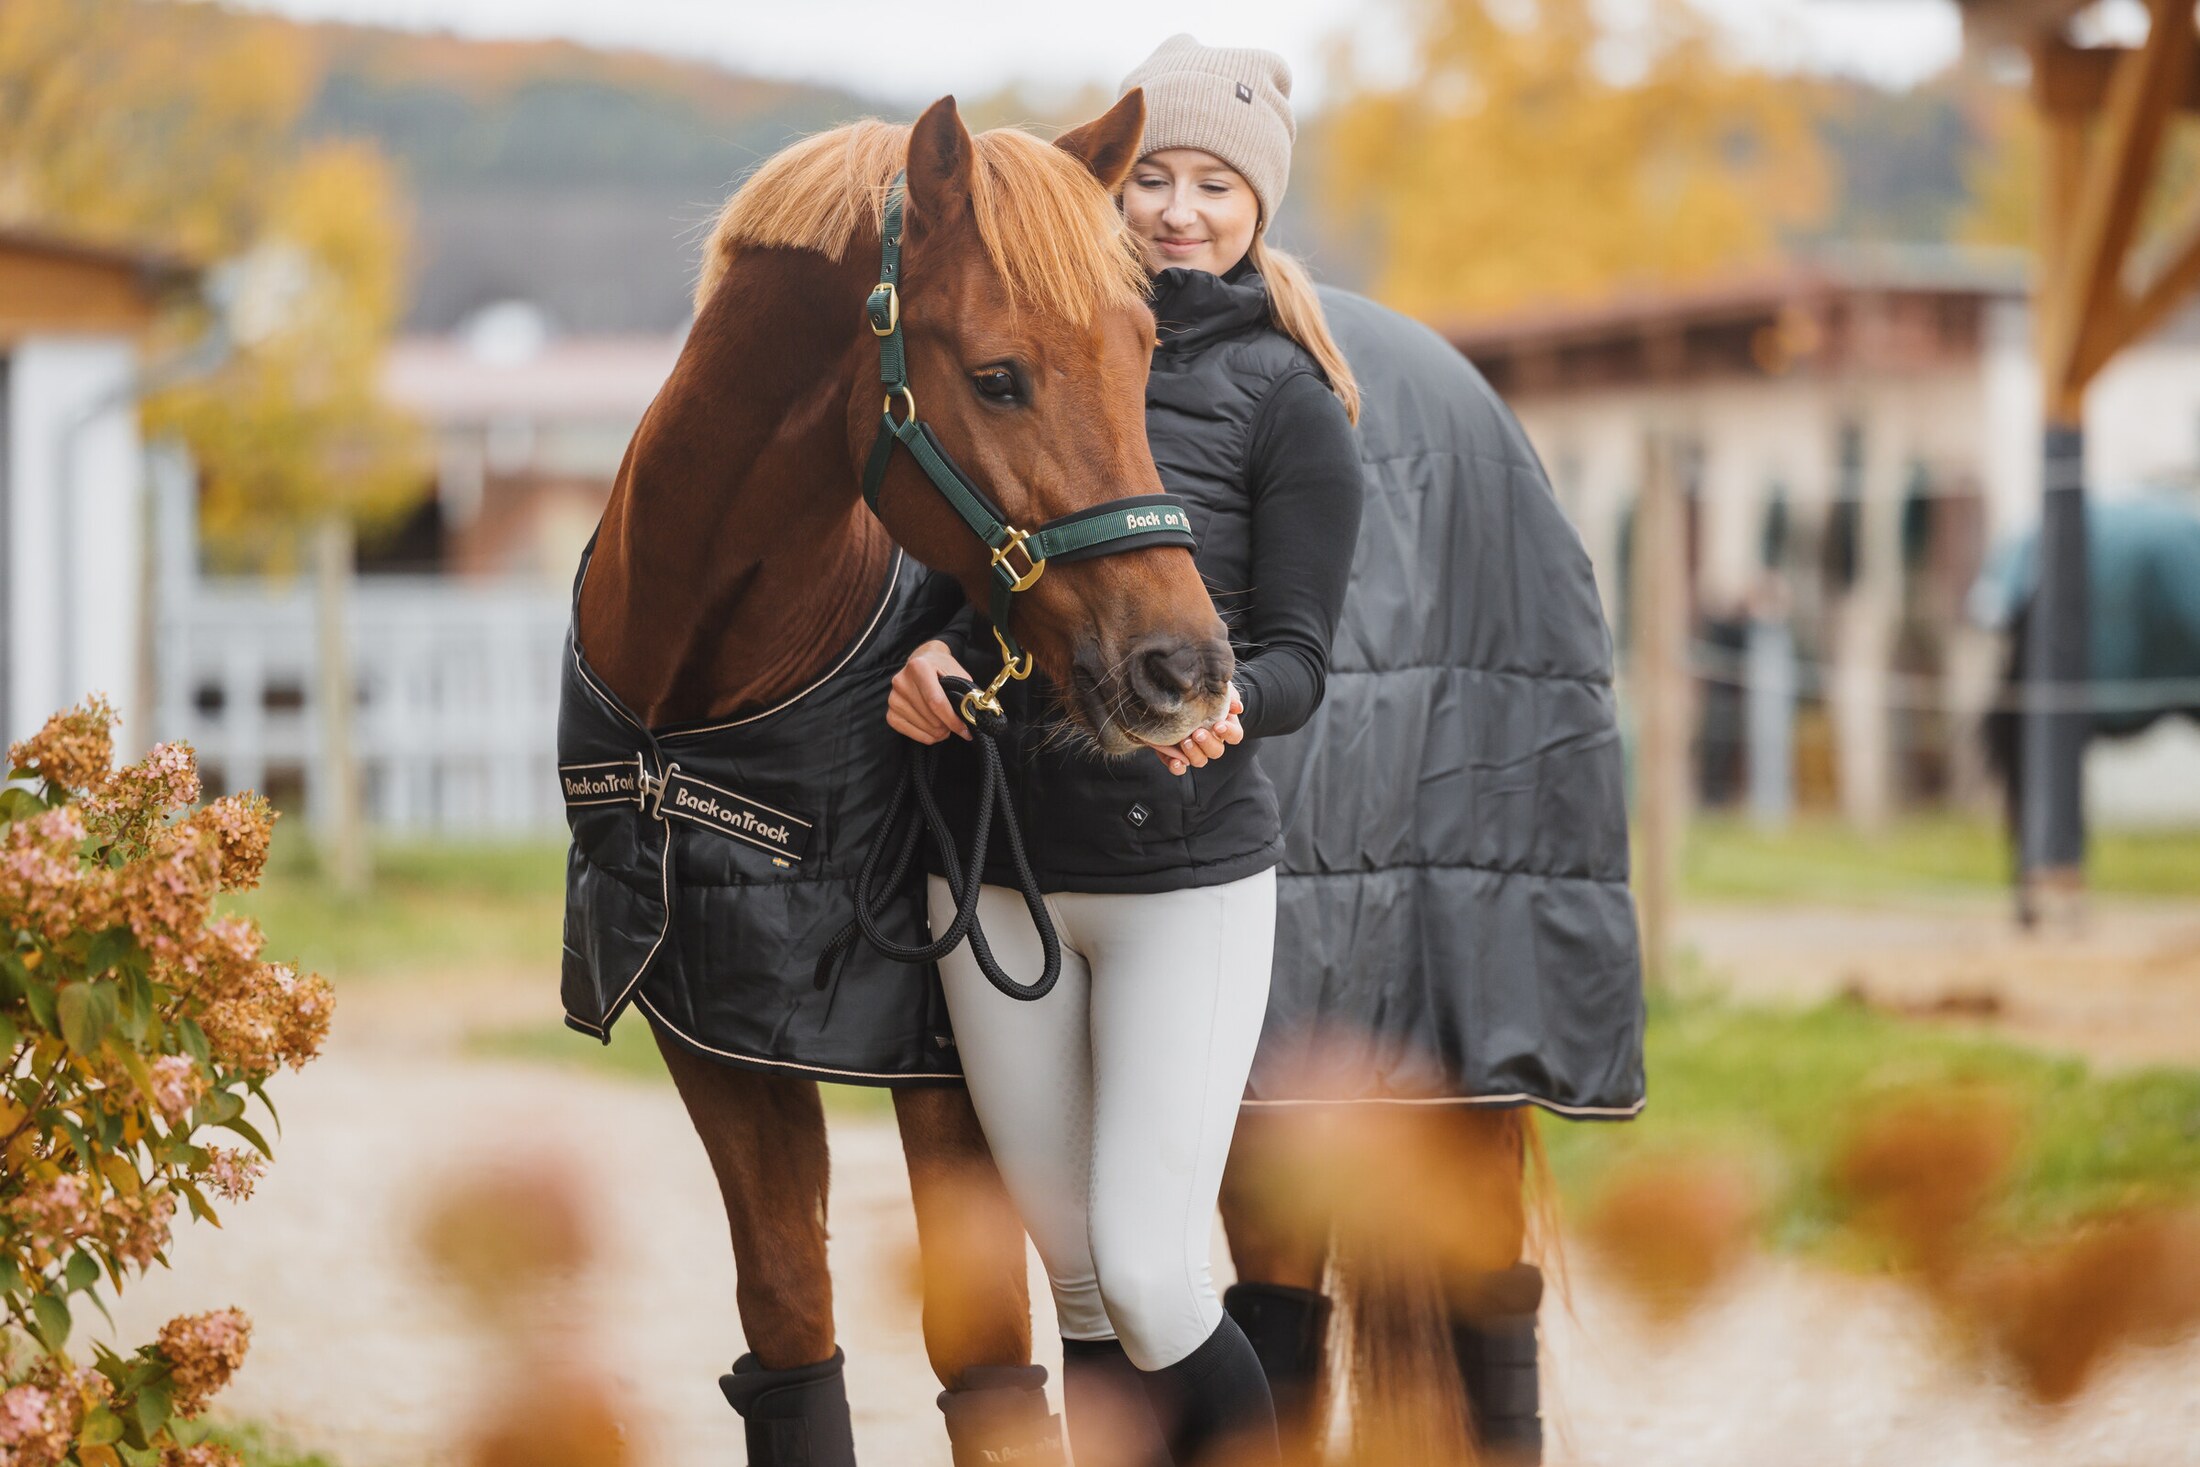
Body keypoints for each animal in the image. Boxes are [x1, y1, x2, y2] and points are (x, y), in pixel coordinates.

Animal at [568, 92, 1235, 1466]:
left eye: (1144, 349)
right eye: (996, 376)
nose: (1184, 671)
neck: (693, 704)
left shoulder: (942, 1079)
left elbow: (985, 1366)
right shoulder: (713, 1030)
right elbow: (789, 1324)